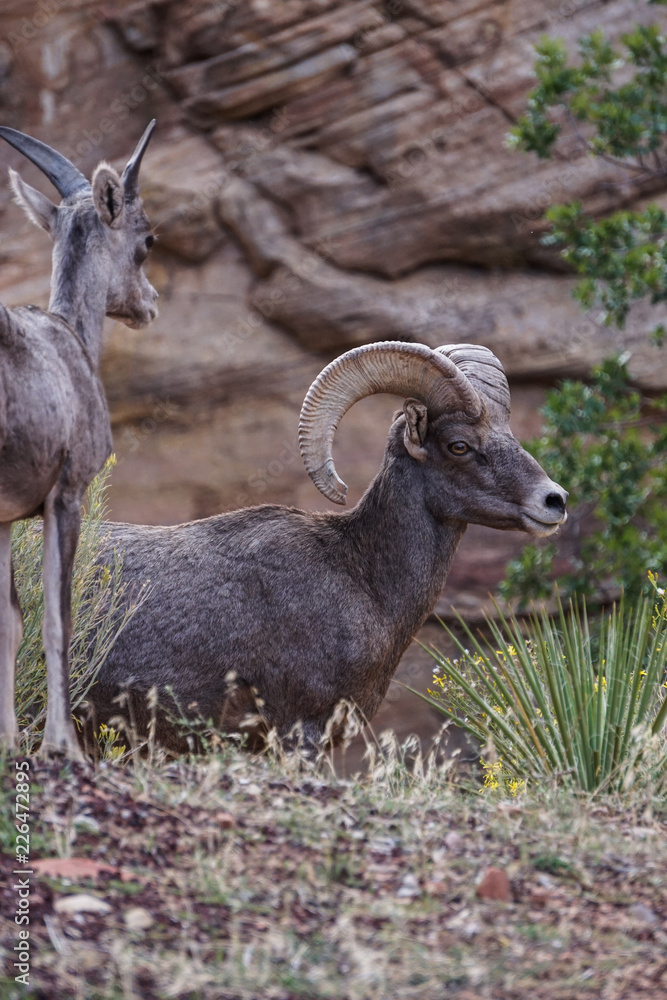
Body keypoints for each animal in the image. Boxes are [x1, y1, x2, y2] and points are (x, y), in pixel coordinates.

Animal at [0, 121, 158, 752]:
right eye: (148, 239)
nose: (150, 305)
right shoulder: (66, 497)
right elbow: (56, 618)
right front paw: (59, 745)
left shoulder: (3, 519)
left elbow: (10, 621)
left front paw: (9, 743)